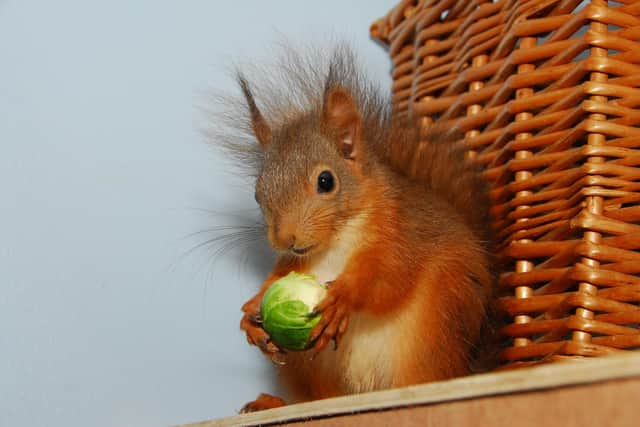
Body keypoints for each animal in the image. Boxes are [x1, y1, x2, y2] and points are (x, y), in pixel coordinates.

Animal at [212, 45, 492, 412]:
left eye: (326, 181)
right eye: (257, 193)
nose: (286, 239)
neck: (334, 242)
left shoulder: (401, 235)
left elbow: (386, 278)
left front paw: (342, 297)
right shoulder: (296, 261)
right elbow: (278, 276)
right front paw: (251, 312)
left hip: (432, 333)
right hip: (310, 372)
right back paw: (273, 403)